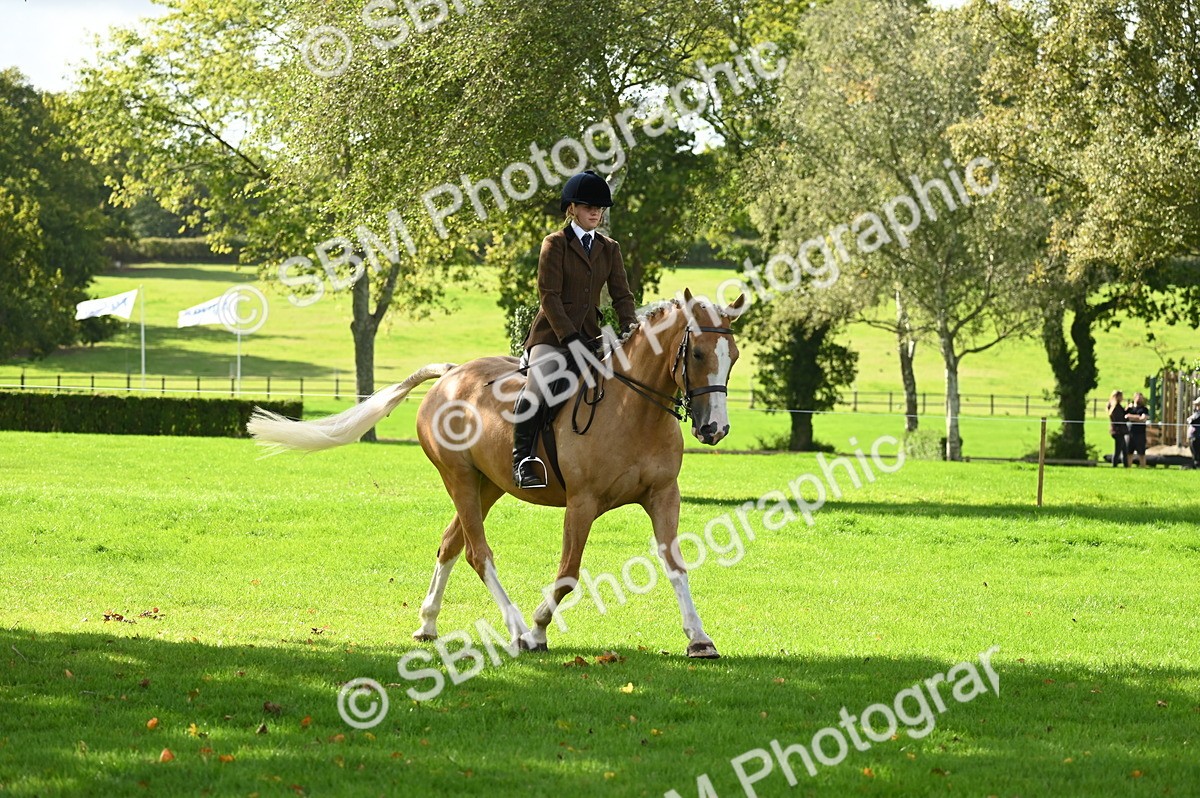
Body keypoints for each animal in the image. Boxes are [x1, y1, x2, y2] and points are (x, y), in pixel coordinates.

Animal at [247, 289, 745, 658]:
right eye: (698, 354)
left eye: (733, 355)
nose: (714, 429)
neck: (633, 409)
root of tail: (451, 374)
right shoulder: (582, 503)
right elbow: (568, 573)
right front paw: (541, 630)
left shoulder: (663, 495)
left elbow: (676, 563)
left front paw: (699, 639)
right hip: (460, 478)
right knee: (476, 552)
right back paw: (518, 630)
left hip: (489, 485)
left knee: (450, 543)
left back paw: (428, 623)